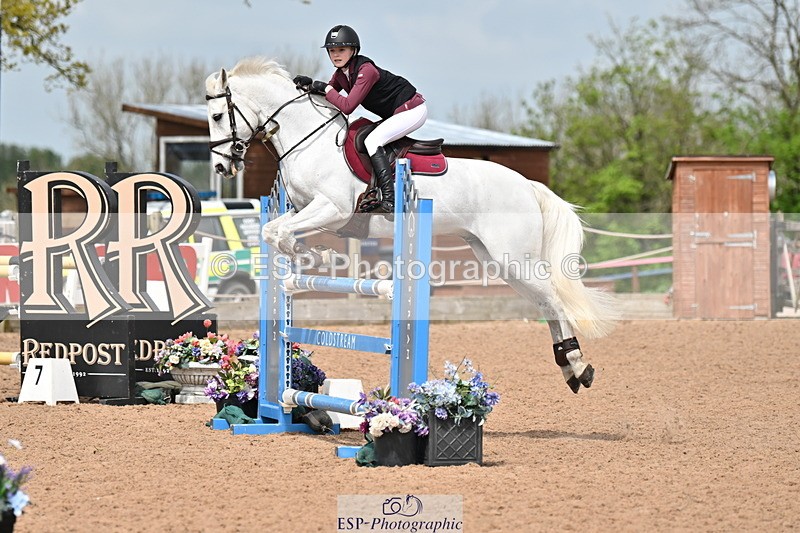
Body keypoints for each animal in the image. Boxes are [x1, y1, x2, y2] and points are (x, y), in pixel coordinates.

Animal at [204, 57, 617, 393]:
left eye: (217, 116)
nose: (223, 166)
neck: (309, 141)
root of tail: (528, 185)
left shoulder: (333, 208)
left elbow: (282, 233)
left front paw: (316, 257)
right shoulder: (304, 208)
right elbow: (274, 231)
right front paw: (312, 255)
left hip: (514, 257)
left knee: (554, 299)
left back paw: (578, 364)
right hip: (499, 260)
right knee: (545, 302)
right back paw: (569, 368)